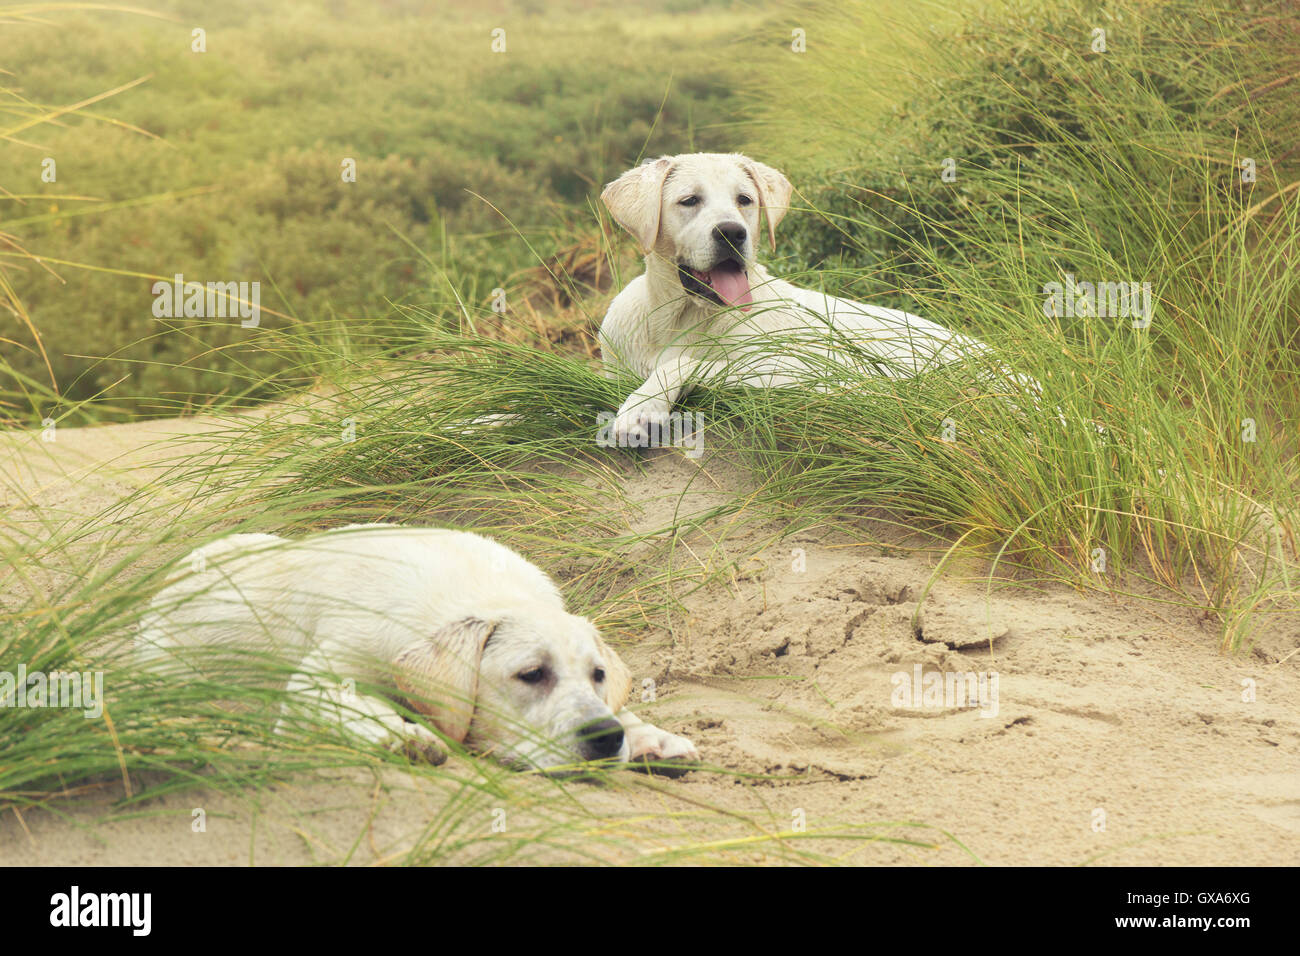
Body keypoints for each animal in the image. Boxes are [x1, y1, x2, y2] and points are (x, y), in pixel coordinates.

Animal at [137, 528, 702, 775]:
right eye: (531, 674)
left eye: (598, 675)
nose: (604, 739)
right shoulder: (314, 682)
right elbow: (350, 704)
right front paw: (403, 736)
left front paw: (648, 735)